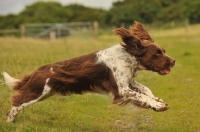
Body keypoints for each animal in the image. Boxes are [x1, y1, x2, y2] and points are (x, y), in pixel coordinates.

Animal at [2, 21, 175, 122]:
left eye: (164, 51)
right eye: (157, 54)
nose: (173, 61)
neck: (128, 56)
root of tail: (37, 71)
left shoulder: (128, 81)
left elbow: (145, 89)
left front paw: (157, 102)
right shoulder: (122, 89)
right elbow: (141, 95)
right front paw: (157, 105)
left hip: (45, 94)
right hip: (37, 93)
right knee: (15, 105)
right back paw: (10, 122)